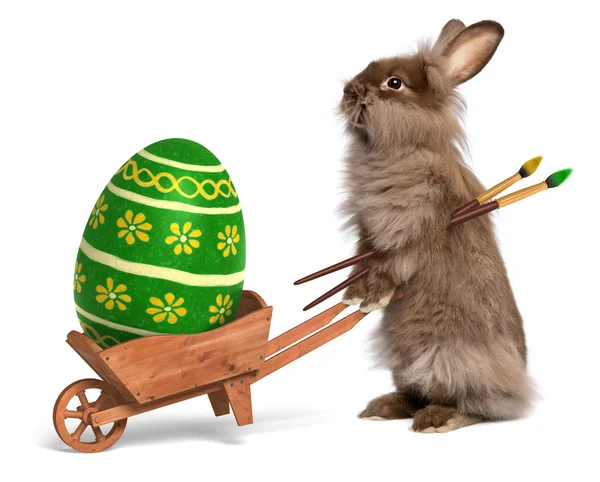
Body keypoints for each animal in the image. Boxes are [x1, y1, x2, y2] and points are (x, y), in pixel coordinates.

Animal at [340, 18, 532, 434]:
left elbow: (391, 264)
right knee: (416, 392)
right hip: (403, 359)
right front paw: (351, 295)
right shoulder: (367, 231)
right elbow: (361, 258)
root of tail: (518, 389)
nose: (348, 91)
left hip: (450, 358)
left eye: (394, 83)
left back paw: (435, 419)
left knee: (473, 404)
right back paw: (382, 407)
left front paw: (373, 298)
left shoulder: (414, 229)